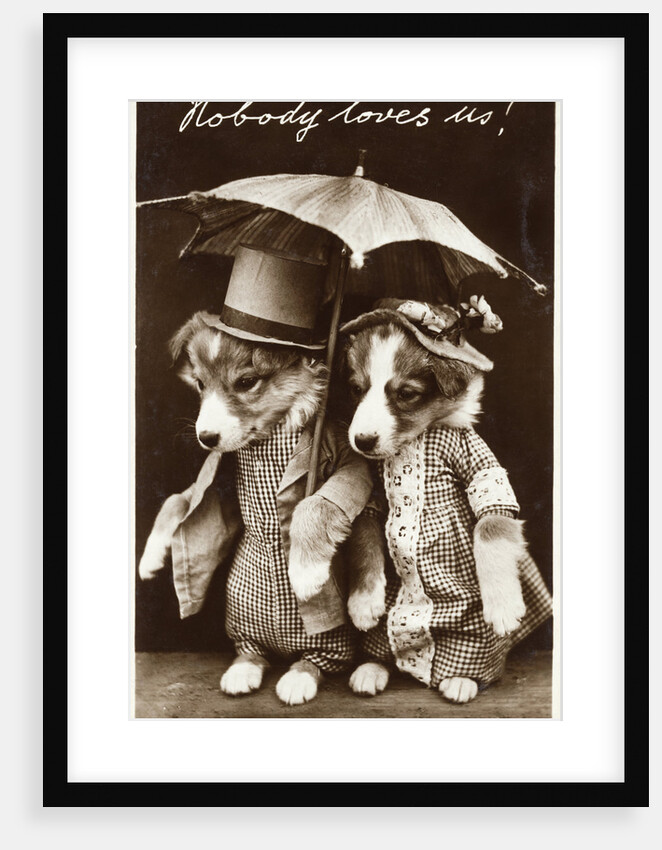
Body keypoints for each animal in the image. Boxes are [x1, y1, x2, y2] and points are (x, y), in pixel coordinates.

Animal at [139, 310, 386, 706]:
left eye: (246, 382)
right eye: (200, 383)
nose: (206, 438)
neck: (267, 441)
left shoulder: (354, 467)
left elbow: (320, 506)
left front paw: (315, 577)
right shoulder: (224, 485)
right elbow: (177, 500)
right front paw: (150, 558)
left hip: (329, 641)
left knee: (322, 656)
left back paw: (312, 673)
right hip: (242, 613)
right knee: (252, 650)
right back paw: (244, 668)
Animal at [340, 299, 553, 704]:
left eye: (406, 393)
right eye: (357, 389)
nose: (362, 441)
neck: (415, 442)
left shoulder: (484, 475)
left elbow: (490, 529)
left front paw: (503, 604)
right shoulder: (373, 495)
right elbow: (363, 535)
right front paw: (363, 601)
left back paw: (461, 679)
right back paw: (373, 667)